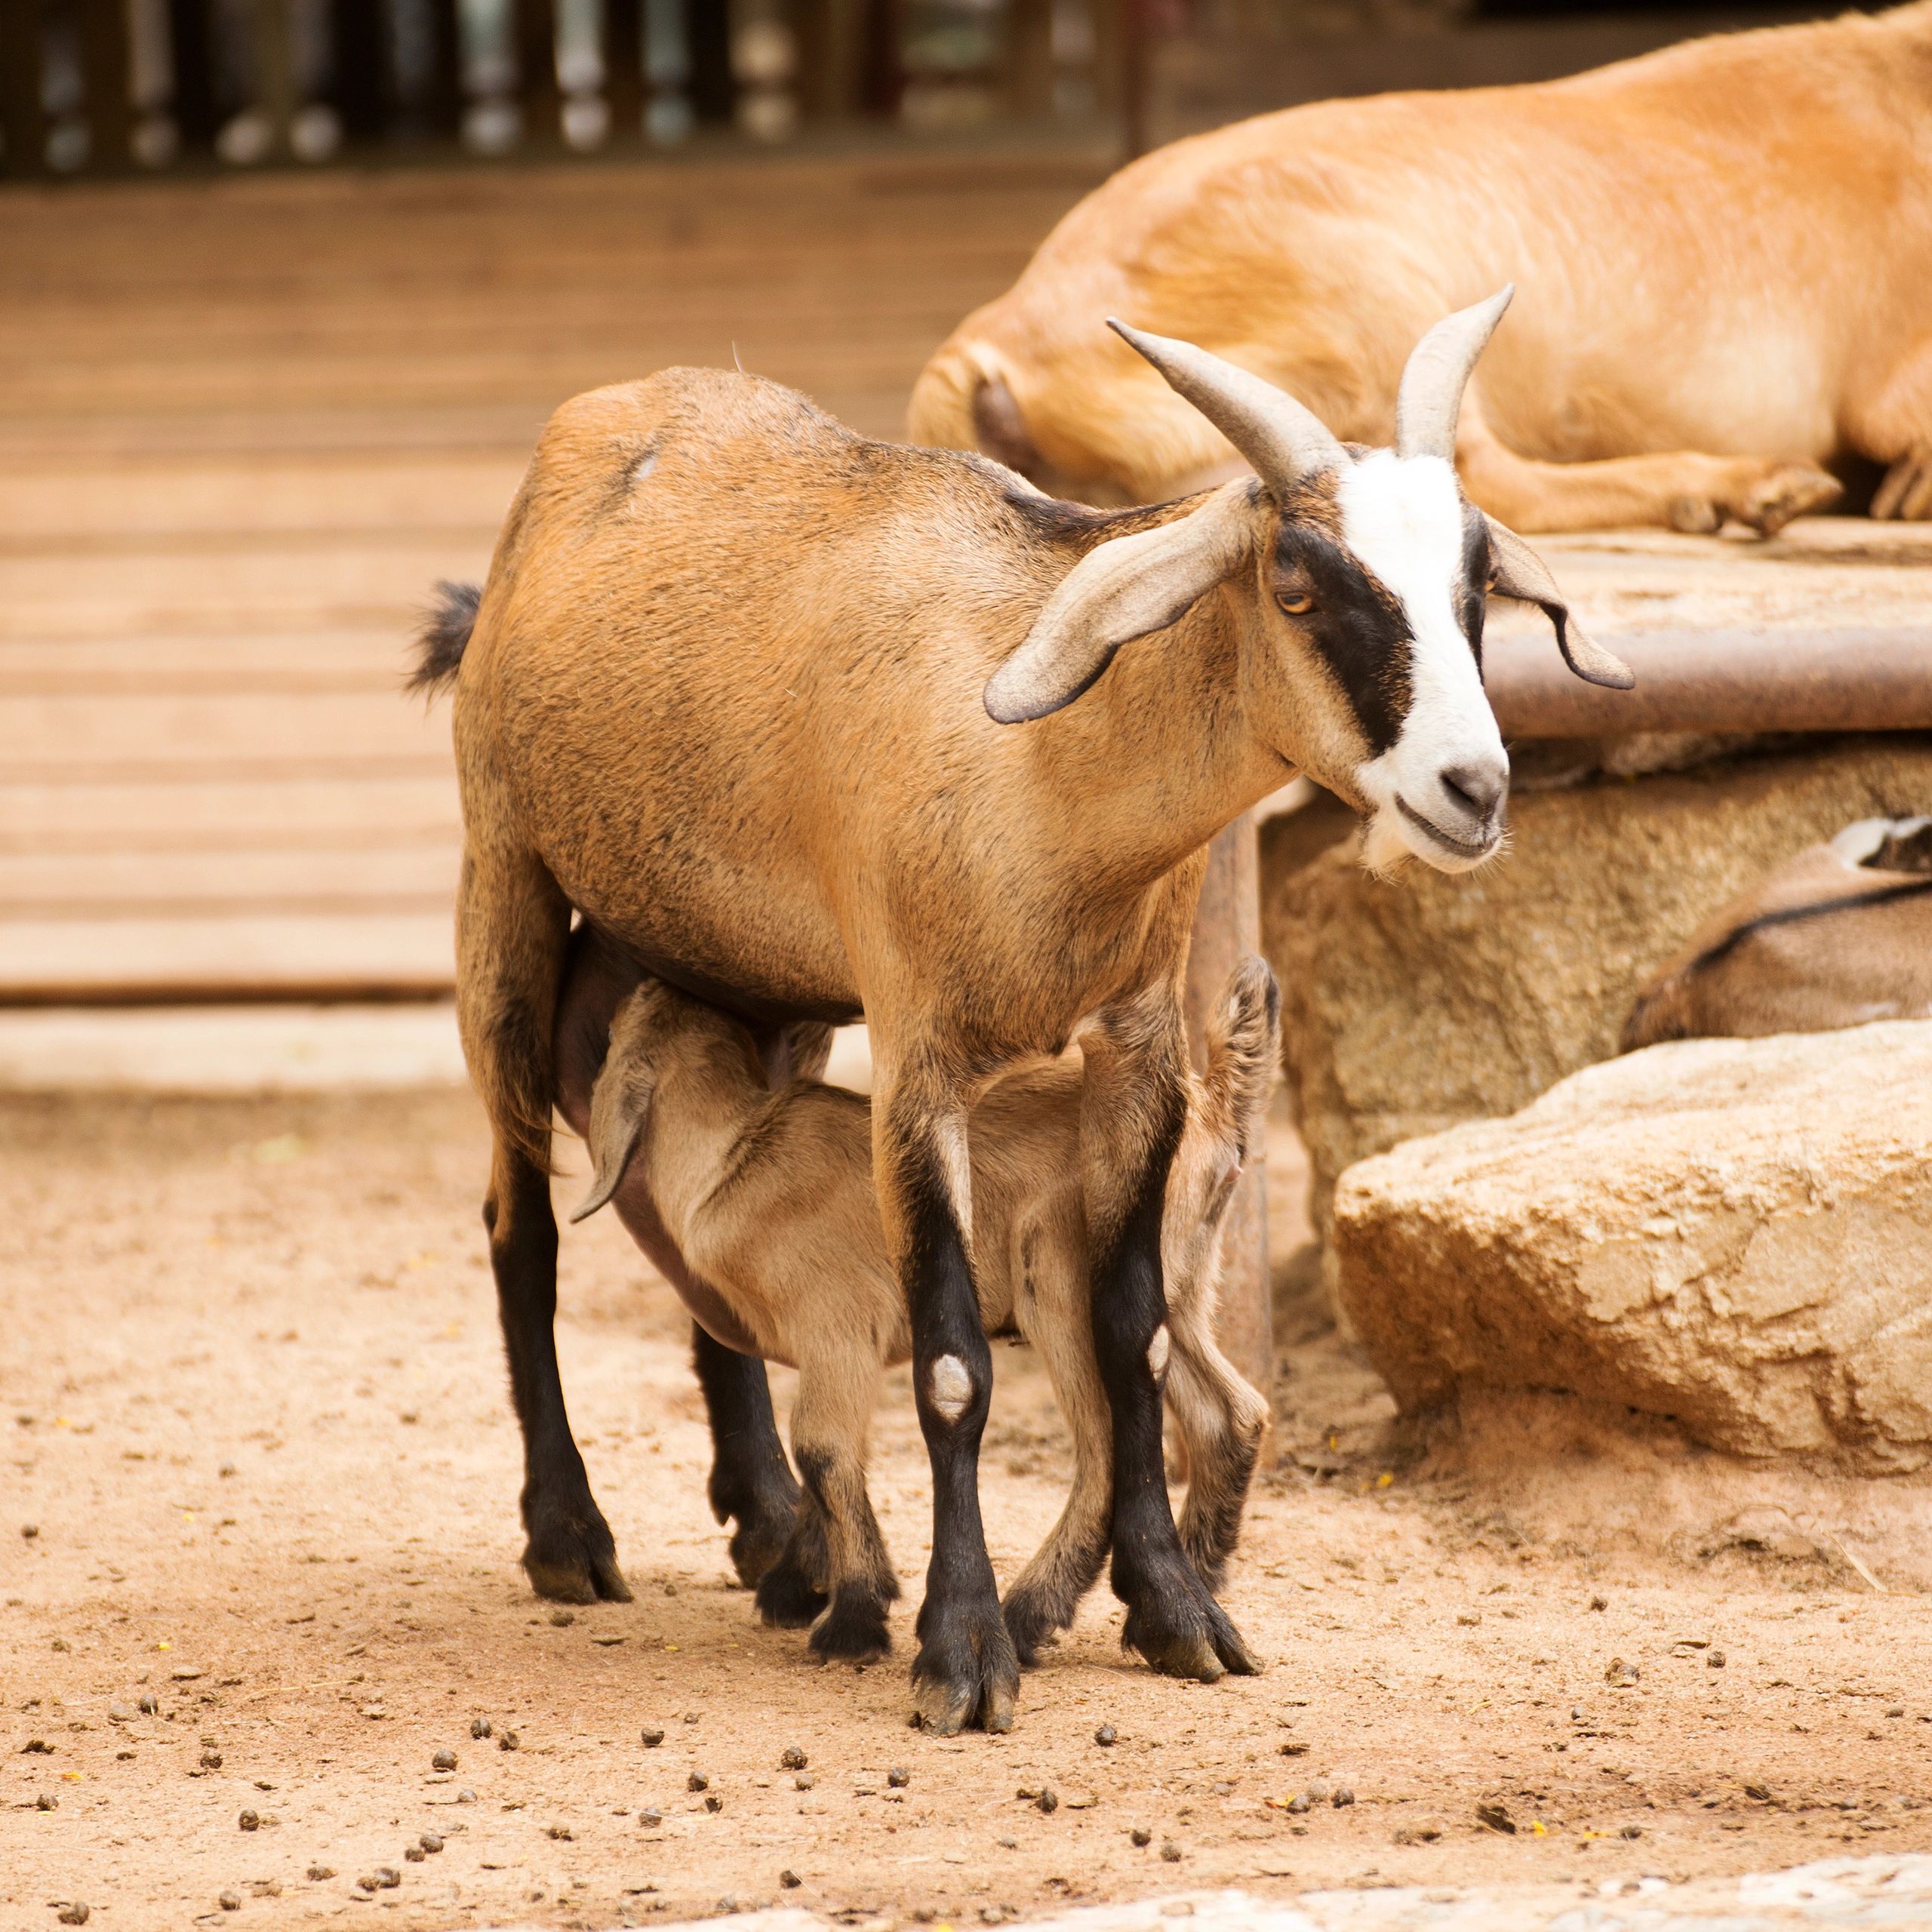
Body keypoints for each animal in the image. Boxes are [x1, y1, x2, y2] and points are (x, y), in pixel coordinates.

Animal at [555, 936, 1277, 1666]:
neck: (735, 1157)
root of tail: (1215, 1114)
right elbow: (833, 1450)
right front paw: (800, 1586)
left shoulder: (835, 1325)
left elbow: (821, 1447)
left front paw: (851, 1618)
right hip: (1185, 1283)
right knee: (1230, 1412)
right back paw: (1190, 1587)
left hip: (1058, 1278)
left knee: (1104, 1445)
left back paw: (1030, 1615)